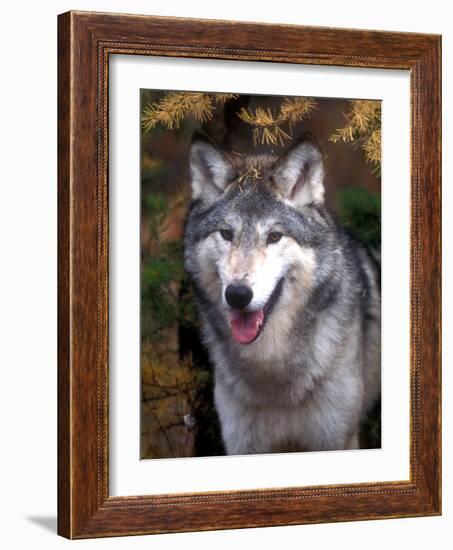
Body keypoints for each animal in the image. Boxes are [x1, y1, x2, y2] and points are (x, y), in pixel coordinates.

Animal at [182, 132, 380, 454]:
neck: (272, 373)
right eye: (227, 234)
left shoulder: (338, 440)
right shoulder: (243, 445)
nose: (238, 294)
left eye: (274, 236)